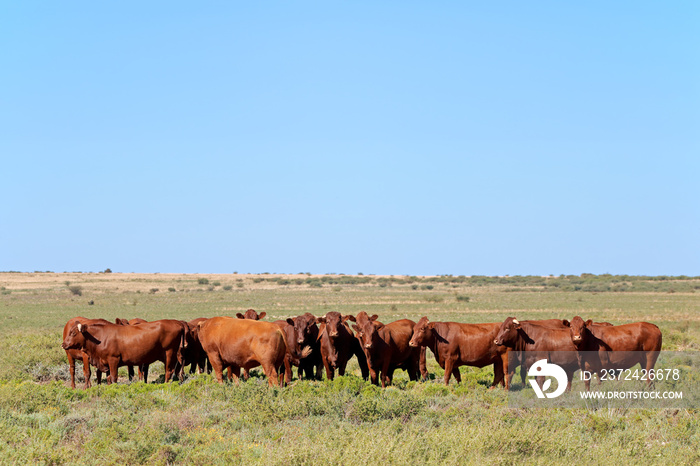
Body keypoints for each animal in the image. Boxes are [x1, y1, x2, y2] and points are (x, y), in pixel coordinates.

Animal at [60, 318, 189, 384]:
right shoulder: (105, 363)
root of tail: (178, 323)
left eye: (73, 333)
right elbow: (108, 378)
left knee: (169, 371)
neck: (102, 337)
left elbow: (114, 377)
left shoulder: (113, 360)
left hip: (169, 353)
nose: (64, 344)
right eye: (70, 332)